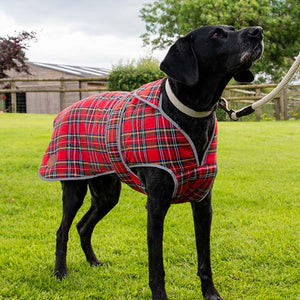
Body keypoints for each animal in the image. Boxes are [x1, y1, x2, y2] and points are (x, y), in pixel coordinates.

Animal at [48, 26, 262, 300]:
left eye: (233, 29)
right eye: (217, 35)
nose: (258, 31)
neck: (191, 113)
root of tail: (66, 109)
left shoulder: (204, 204)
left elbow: (205, 259)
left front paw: (211, 294)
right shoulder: (157, 205)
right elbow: (157, 267)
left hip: (107, 193)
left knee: (83, 226)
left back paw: (93, 262)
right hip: (74, 187)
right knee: (62, 230)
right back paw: (60, 272)